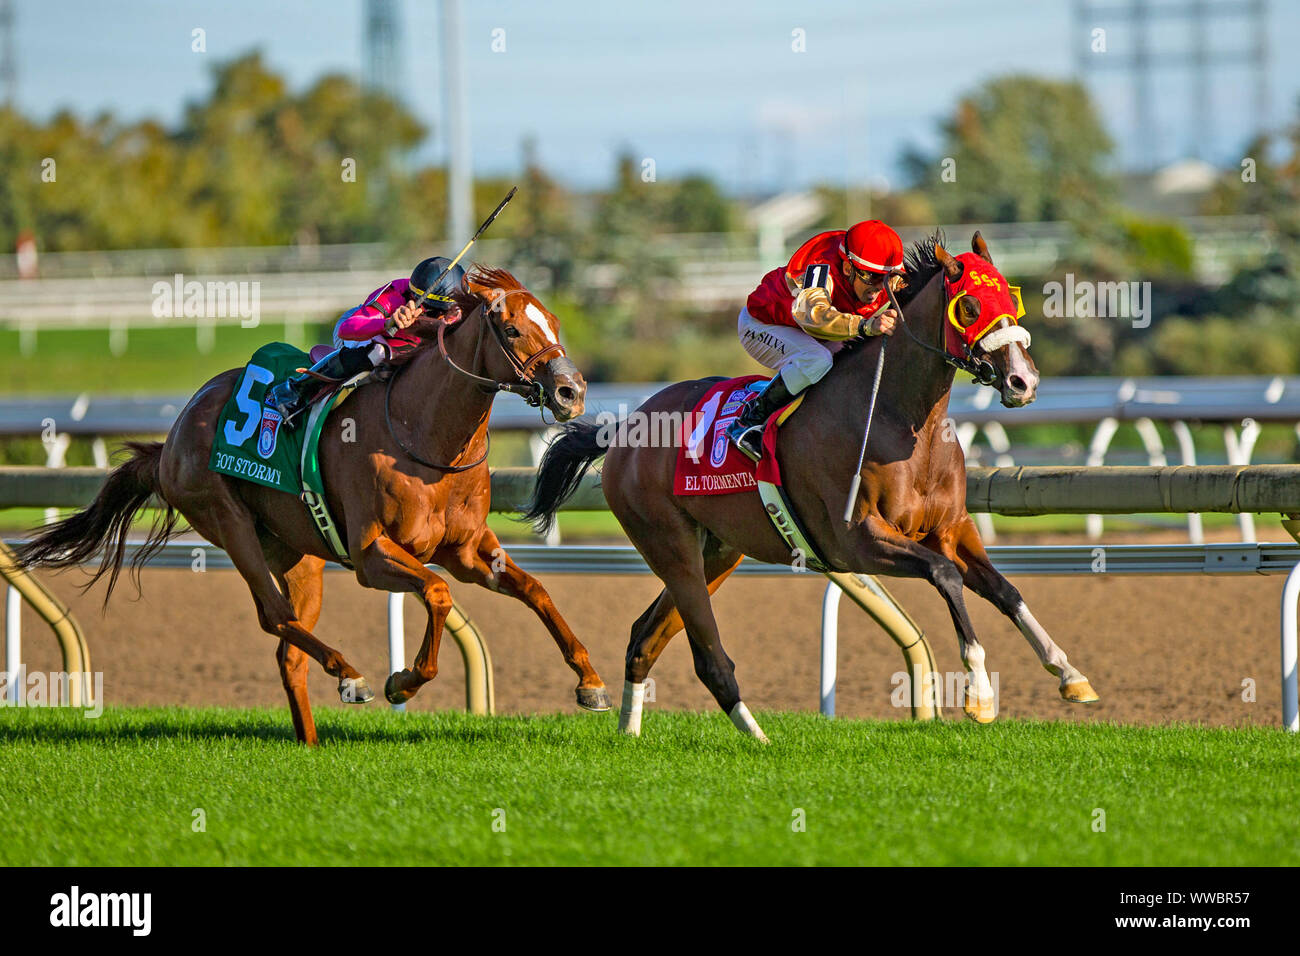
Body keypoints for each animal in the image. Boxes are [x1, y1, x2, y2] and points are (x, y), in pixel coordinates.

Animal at [12, 265, 608, 743]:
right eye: (511, 328)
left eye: (554, 322)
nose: (572, 392)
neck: (426, 436)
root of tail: (173, 437)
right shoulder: (372, 555)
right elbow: (437, 593)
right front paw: (403, 681)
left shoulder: (466, 550)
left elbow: (535, 589)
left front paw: (591, 682)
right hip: (229, 523)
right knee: (275, 618)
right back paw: (350, 675)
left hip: (299, 554)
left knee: (288, 648)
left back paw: (312, 738)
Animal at [522, 234, 1102, 738]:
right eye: (970, 306)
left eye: (1011, 297)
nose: (1024, 381)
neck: (899, 419)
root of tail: (625, 429)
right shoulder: (855, 540)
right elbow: (946, 577)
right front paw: (980, 694)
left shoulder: (952, 529)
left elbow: (1006, 591)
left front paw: (1070, 674)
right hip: (672, 548)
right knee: (708, 658)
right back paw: (756, 736)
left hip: (717, 553)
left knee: (643, 639)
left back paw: (630, 731)